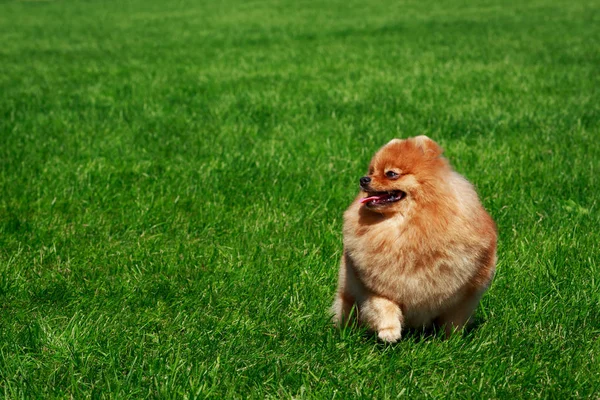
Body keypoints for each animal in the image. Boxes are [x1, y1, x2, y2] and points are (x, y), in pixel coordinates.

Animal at [332, 136, 496, 342]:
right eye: (371, 171)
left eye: (391, 174)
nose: (363, 179)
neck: (406, 227)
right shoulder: (373, 283)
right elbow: (384, 305)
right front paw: (389, 331)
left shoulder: (465, 293)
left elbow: (454, 319)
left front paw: (452, 341)